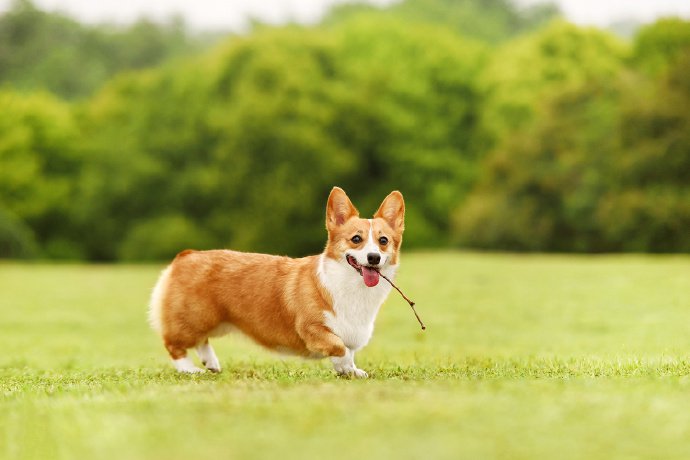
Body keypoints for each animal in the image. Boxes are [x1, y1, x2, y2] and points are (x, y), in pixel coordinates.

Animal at [148, 187, 400, 378]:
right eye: (356, 239)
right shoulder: (312, 328)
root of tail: (186, 255)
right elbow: (339, 347)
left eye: (383, 241)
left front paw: (352, 371)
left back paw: (211, 363)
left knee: (201, 341)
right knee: (173, 344)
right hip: (195, 318)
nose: (373, 258)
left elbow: (349, 351)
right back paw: (190, 370)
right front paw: (345, 367)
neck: (352, 287)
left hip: (211, 321)